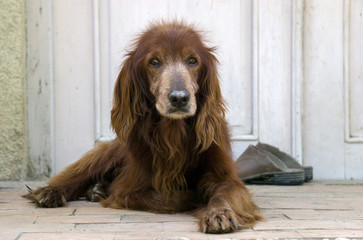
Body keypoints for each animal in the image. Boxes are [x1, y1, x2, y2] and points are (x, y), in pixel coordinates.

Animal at [23, 21, 262, 234]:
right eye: (154, 61)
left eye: (192, 60)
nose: (179, 98)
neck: (173, 133)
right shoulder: (128, 188)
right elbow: (167, 196)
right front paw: (195, 197)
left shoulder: (224, 176)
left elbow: (224, 193)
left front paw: (219, 213)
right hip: (107, 152)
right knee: (78, 173)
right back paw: (52, 192)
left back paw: (96, 189)